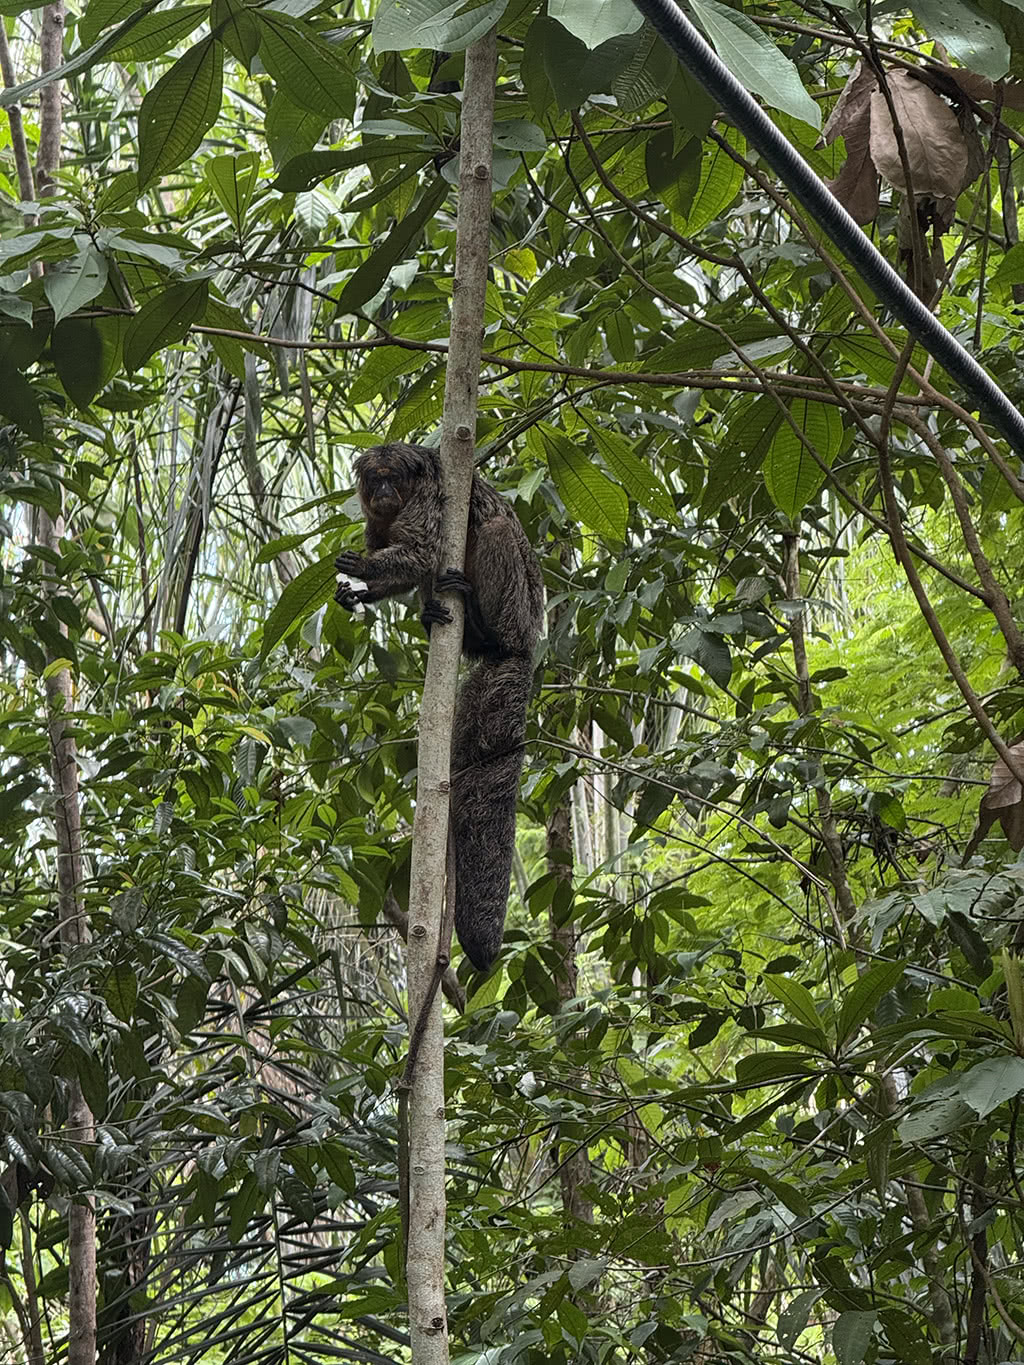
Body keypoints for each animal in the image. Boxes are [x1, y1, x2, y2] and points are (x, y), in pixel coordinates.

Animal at [334, 442, 544, 971]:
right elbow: (405, 561)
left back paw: (490, 636)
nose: (384, 491)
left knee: (496, 531)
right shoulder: (377, 520)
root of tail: (527, 645)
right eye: (375, 481)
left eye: (393, 479)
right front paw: (357, 593)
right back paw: (446, 621)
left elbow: (422, 551)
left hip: (520, 605)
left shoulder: (429, 497)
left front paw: (362, 571)